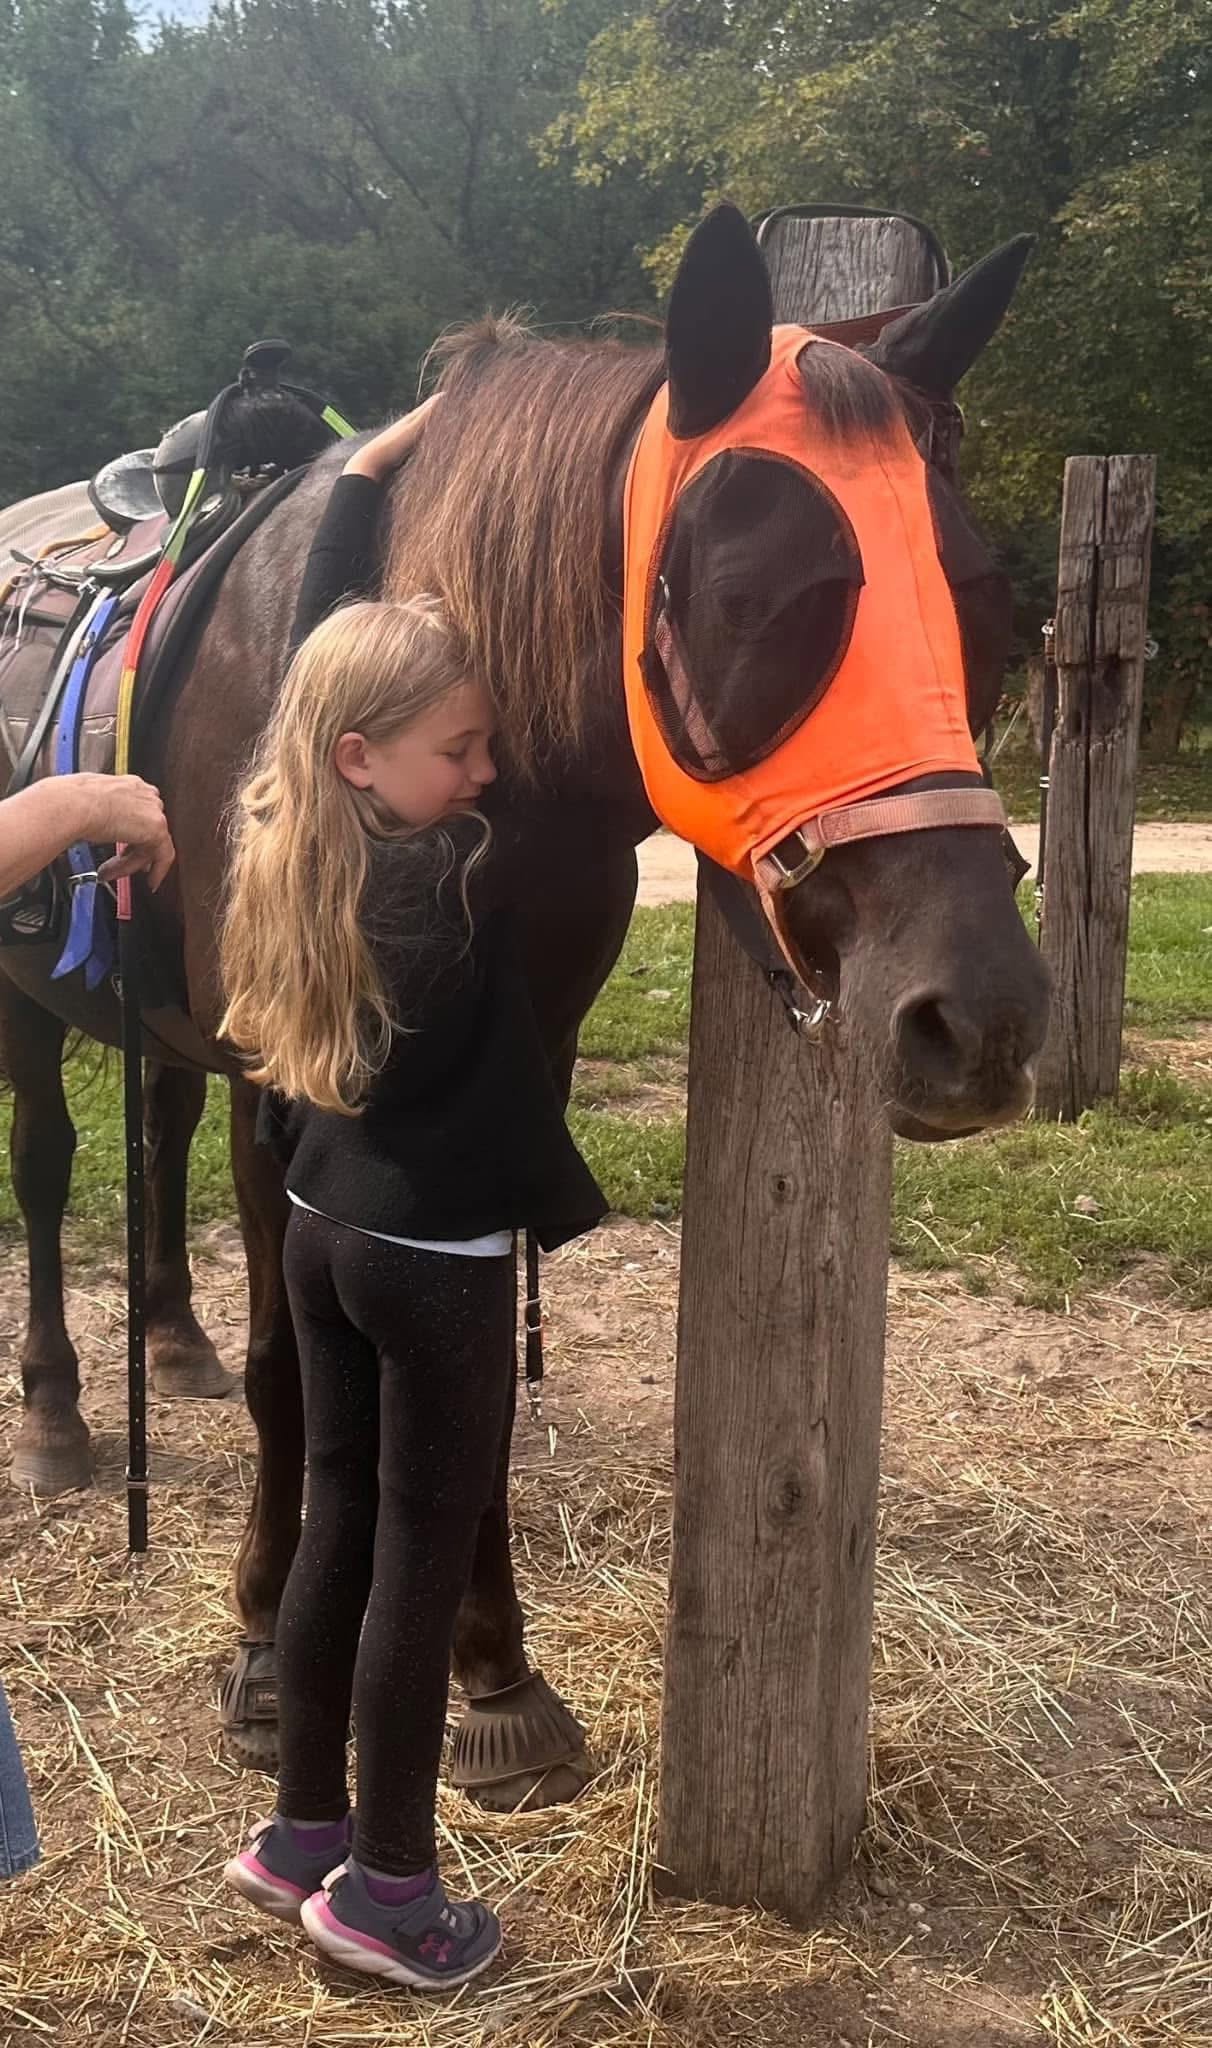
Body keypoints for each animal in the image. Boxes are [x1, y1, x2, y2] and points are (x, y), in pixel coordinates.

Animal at [0, 204, 1050, 1805]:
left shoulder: (512, 1076)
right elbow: (293, 1367)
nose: (977, 1016)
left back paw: (166, 1340)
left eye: (984, 610)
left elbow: (473, 1373)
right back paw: (60, 1408)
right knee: (53, 1164)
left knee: (154, 1132)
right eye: (751, 601)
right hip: (24, 1000)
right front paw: (265, 1647)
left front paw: (490, 1669)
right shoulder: (285, 1069)